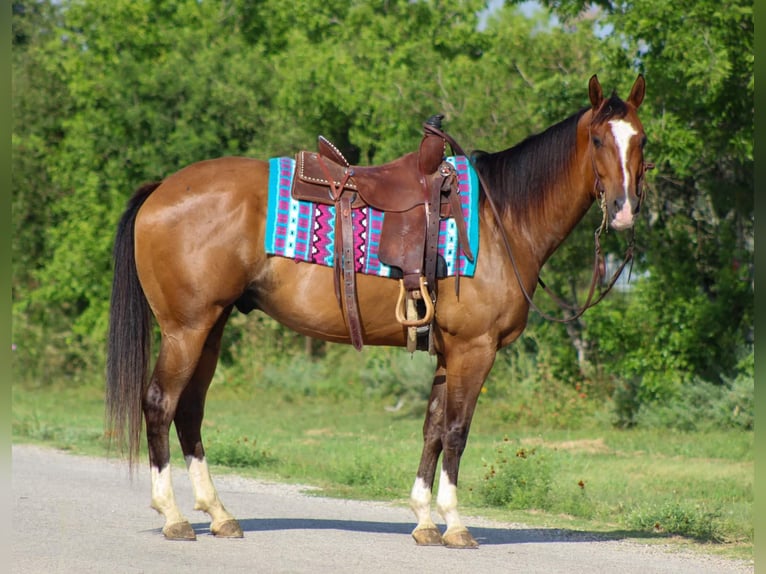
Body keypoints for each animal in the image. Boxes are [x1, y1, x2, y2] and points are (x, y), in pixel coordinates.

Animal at [105, 75, 652, 548]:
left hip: (211, 327)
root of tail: (160, 190)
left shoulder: (448, 353)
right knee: (160, 403)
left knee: (189, 411)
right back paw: (173, 516)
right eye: (598, 140)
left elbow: (432, 429)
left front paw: (424, 520)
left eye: (641, 141)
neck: (501, 221)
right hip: (187, 328)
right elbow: (457, 432)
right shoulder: (475, 350)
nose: (624, 210)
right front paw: (455, 524)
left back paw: (218, 514)